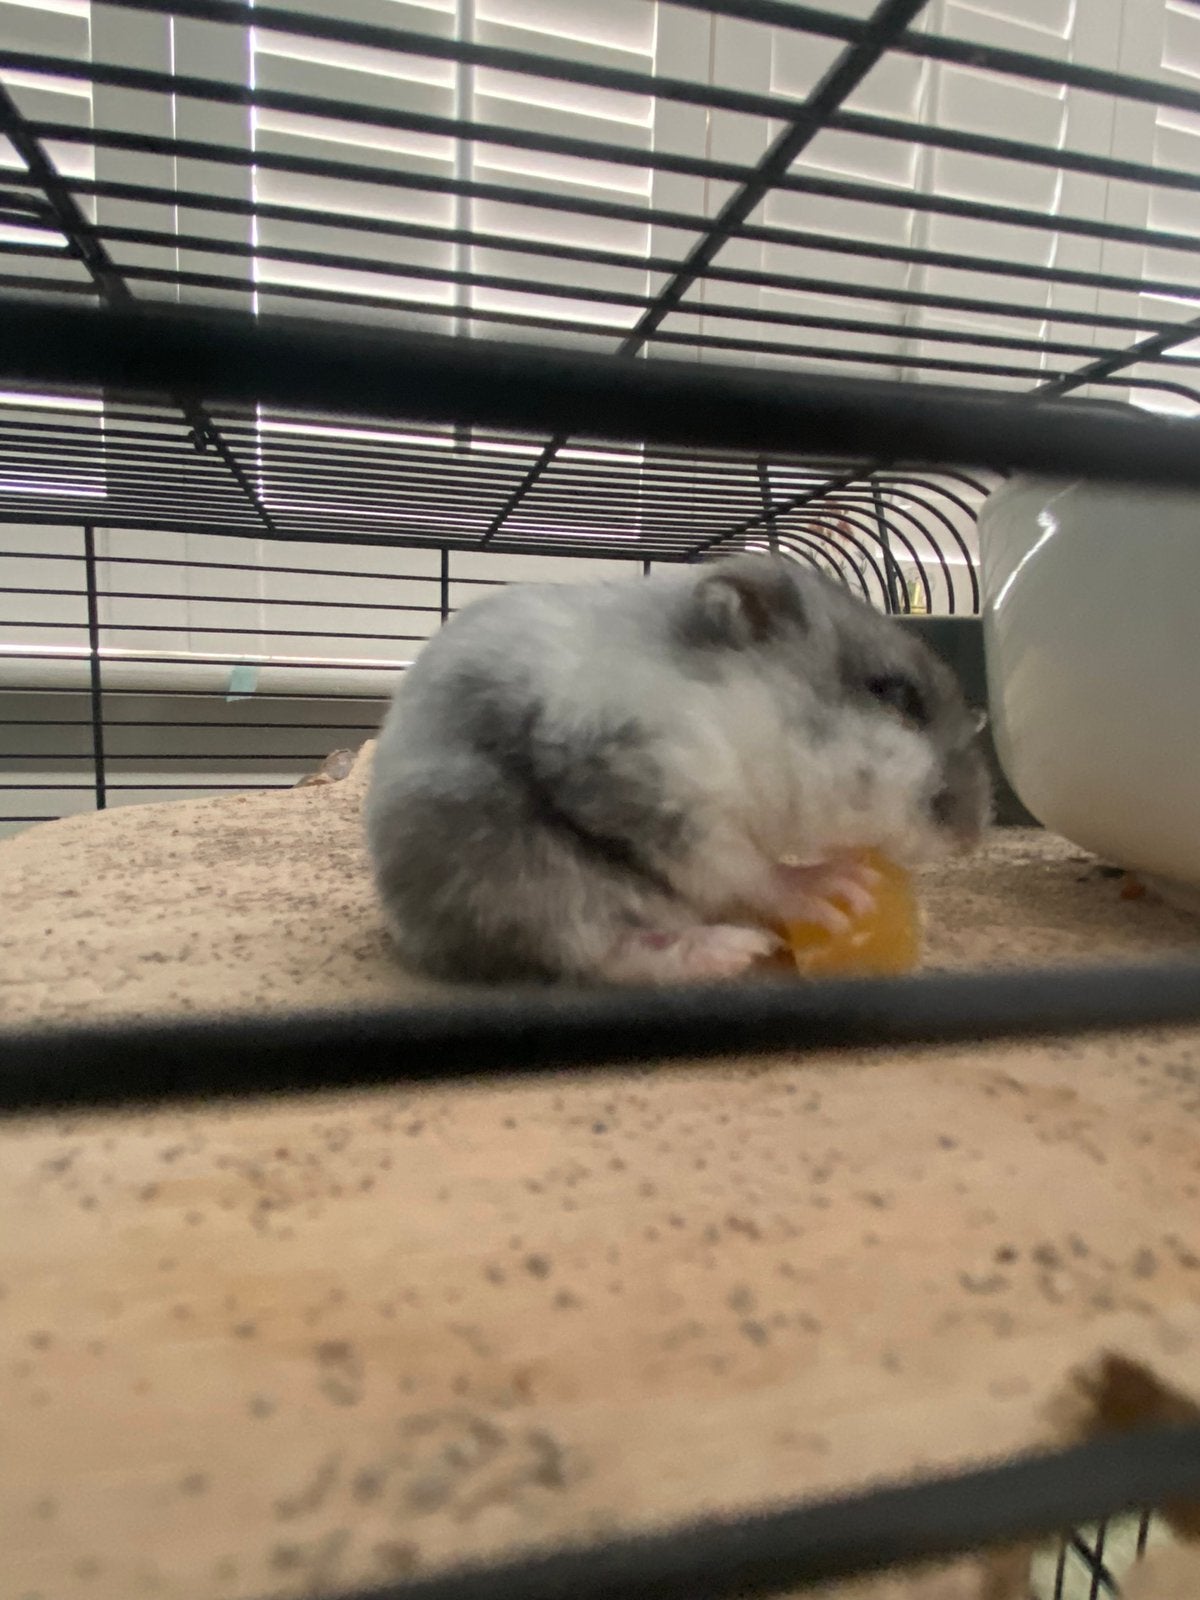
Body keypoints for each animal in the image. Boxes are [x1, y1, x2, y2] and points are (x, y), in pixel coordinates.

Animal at [365, 555, 991, 984]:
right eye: (895, 695)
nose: (972, 839)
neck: (739, 719)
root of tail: (408, 932)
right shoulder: (657, 789)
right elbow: (742, 867)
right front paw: (834, 886)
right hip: (524, 880)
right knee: (603, 951)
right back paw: (733, 950)